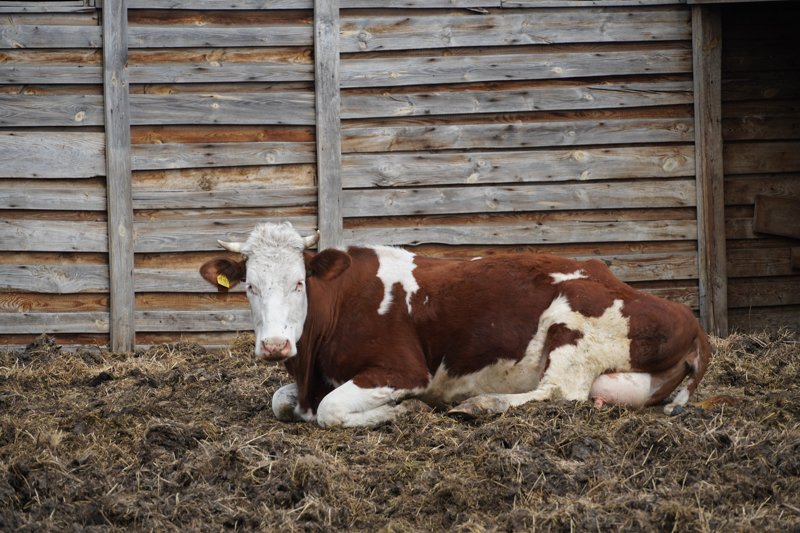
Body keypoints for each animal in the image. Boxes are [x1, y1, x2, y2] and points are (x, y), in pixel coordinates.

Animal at [200, 222, 712, 426]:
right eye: (250, 287)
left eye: (298, 283)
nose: (274, 346)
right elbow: (280, 402)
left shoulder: (404, 369)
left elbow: (330, 410)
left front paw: (404, 411)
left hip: (573, 327)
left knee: (559, 392)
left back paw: (480, 404)